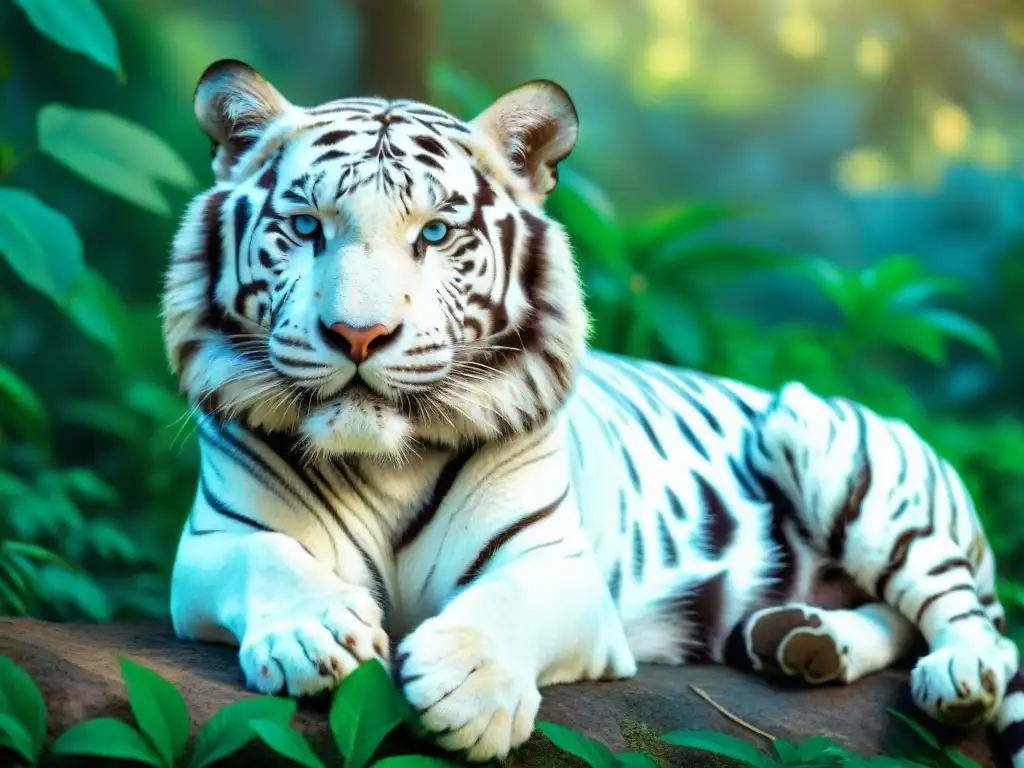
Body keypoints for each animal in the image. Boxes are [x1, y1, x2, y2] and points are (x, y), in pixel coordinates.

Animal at [162, 58, 1024, 765]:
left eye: (435, 232)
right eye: (306, 227)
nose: (358, 334)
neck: (389, 461)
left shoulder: (563, 567)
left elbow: (506, 601)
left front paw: (468, 689)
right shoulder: (213, 542)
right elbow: (270, 557)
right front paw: (317, 633)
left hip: (831, 449)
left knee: (973, 619)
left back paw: (957, 673)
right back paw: (803, 641)